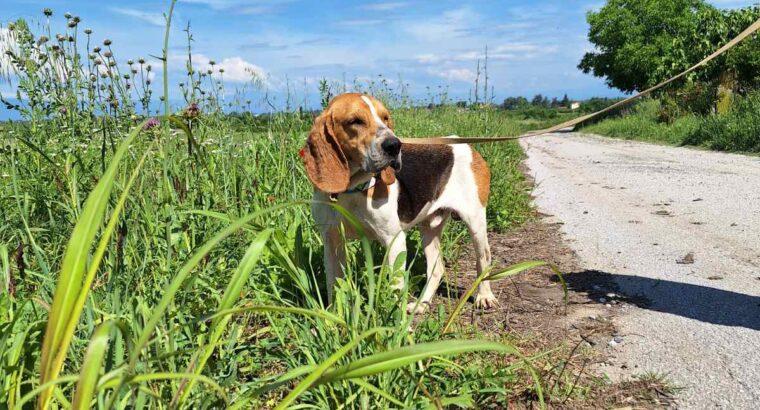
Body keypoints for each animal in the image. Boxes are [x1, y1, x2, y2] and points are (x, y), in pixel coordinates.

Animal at [302, 93, 498, 314]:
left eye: (385, 118)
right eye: (355, 121)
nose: (394, 145)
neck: (352, 189)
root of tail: (462, 143)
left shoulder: (394, 241)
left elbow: (394, 288)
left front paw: (395, 320)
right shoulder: (332, 241)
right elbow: (334, 287)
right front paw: (334, 317)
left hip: (476, 222)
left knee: (484, 259)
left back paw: (484, 296)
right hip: (429, 228)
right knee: (437, 268)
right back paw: (422, 304)